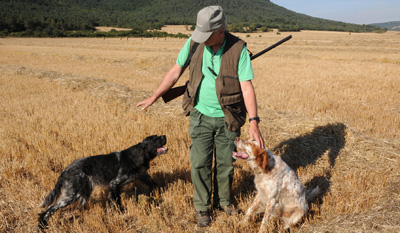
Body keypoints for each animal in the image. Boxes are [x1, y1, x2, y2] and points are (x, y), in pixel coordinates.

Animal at [37, 135, 167, 229]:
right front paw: (122, 214)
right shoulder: (114, 184)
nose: (164, 135)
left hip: (84, 192)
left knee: (79, 206)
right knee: (49, 209)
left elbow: (156, 185)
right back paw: (42, 226)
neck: (137, 156)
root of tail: (66, 170)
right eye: (154, 138)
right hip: (71, 195)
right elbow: (118, 203)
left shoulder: (143, 176)